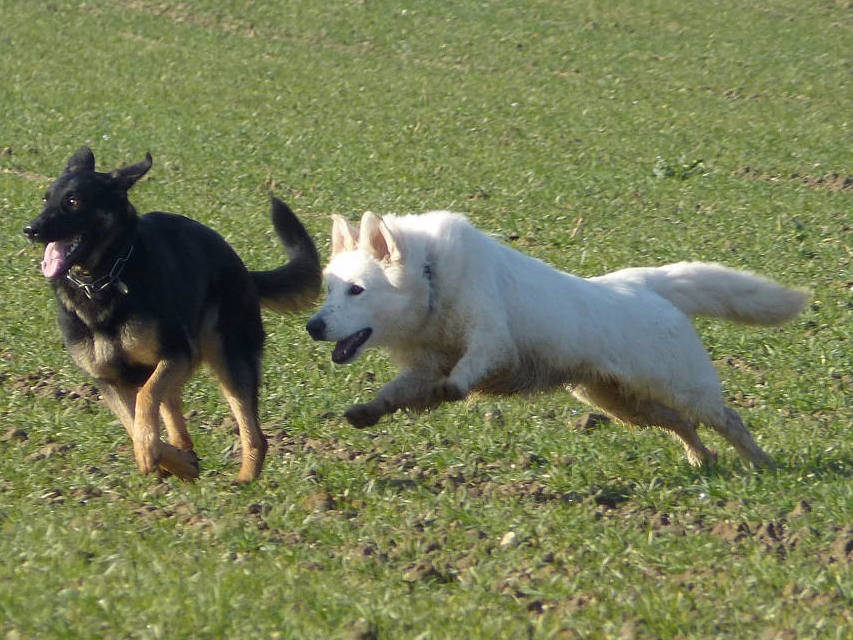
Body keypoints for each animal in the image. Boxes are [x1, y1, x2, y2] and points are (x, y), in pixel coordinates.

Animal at [26, 149, 322, 480]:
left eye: (74, 201)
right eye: (46, 199)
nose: (30, 230)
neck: (103, 279)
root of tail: (242, 267)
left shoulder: (175, 354)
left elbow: (145, 401)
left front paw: (151, 454)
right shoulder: (109, 381)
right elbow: (134, 423)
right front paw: (173, 461)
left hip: (229, 360)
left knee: (253, 433)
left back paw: (244, 479)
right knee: (173, 411)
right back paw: (183, 456)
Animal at [306, 212, 804, 468]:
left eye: (357, 290)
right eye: (329, 289)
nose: (313, 326)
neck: (431, 280)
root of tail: (643, 285)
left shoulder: (492, 341)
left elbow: (463, 373)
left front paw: (451, 389)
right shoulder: (422, 367)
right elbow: (397, 393)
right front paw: (370, 410)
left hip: (684, 389)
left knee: (728, 420)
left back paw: (761, 462)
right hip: (618, 402)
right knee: (683, 425)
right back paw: (701, 460)